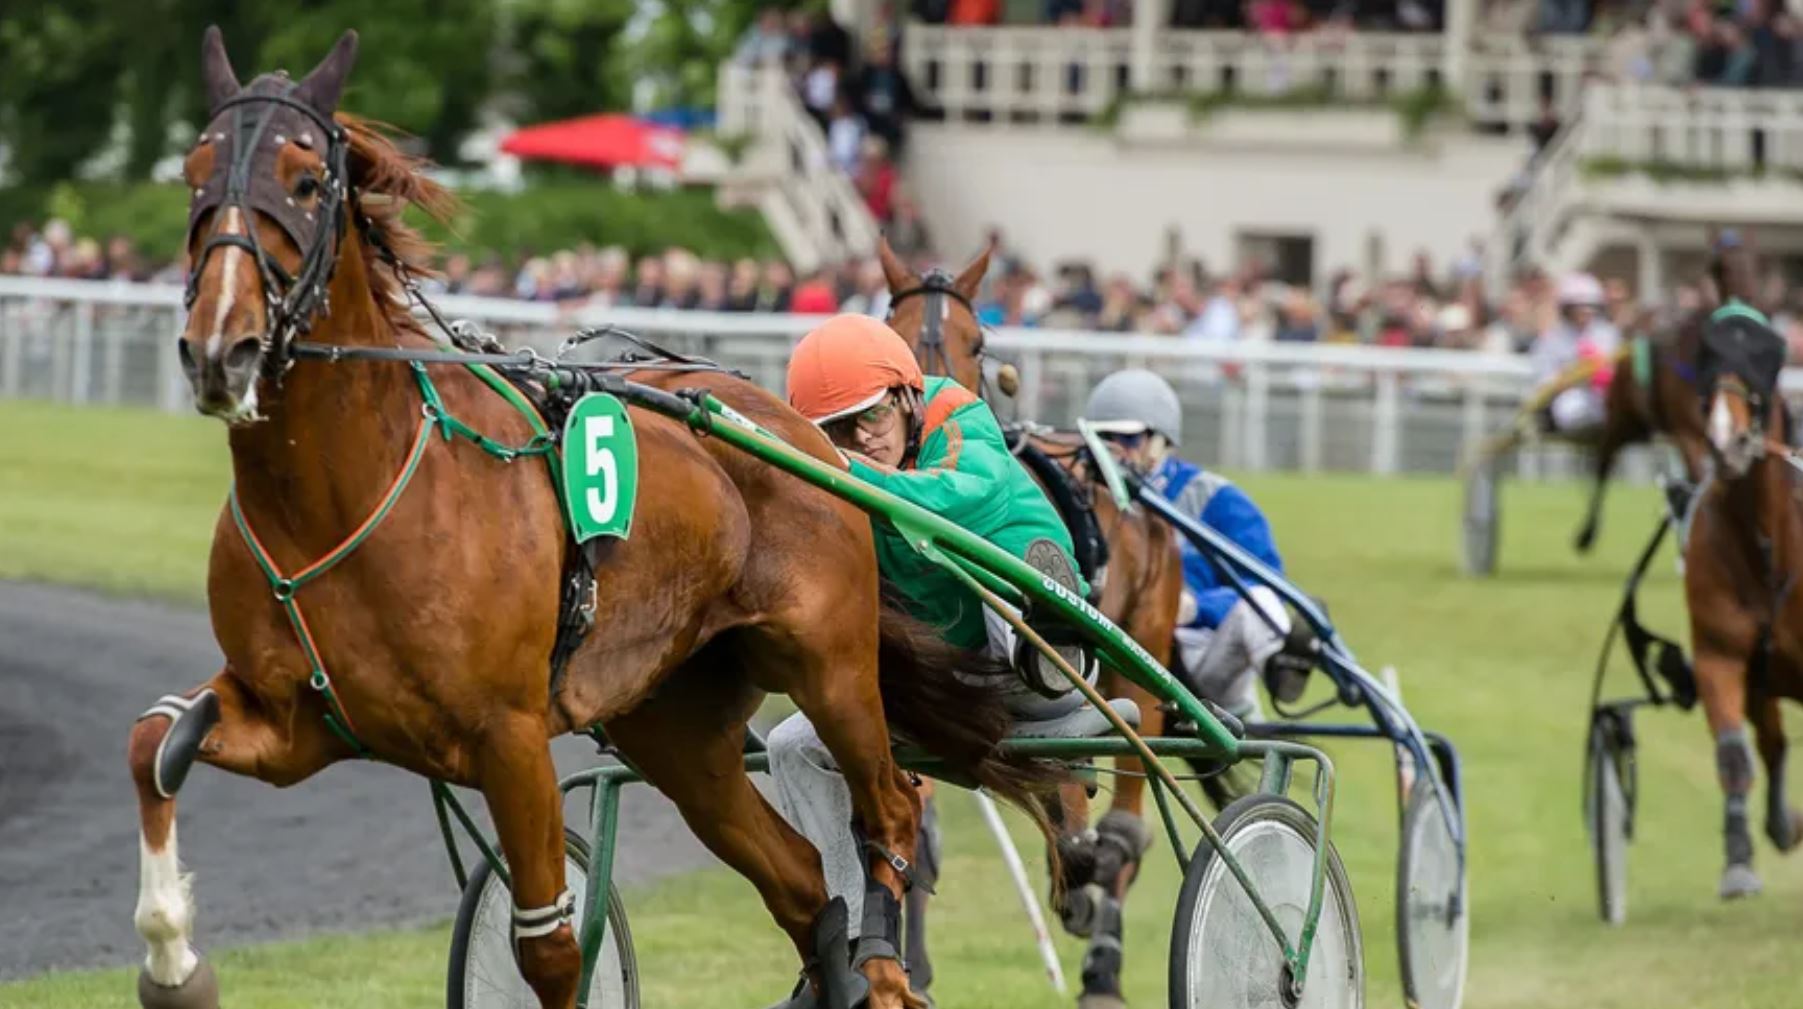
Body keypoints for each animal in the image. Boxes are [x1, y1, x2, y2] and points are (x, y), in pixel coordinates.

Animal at [130, 25, 1052, 1009]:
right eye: (194, 173)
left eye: (304, 180)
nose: (219, 347)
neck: (341, 497)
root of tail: (804, 438)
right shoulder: (297, 724)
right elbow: (153, 740)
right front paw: (171, 953)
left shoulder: (509, 736)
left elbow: (550, 948)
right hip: (676, 723)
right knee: (801, 878)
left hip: (831, 667)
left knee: (892, 808)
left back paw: (883, 971)